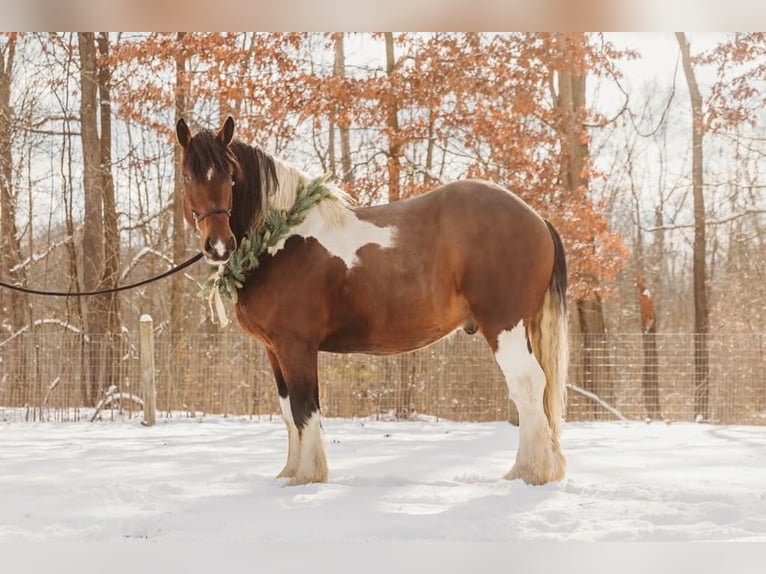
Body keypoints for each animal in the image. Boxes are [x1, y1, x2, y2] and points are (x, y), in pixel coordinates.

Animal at [176, 116, 569, 486]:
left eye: (230, 176)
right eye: (187, 176)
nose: (218, 245)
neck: (280, 237)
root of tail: (537, 219)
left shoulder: (296, 346)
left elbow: (305, 408)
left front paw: (307, 476)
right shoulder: (275, 350)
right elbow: (289, 410)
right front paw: (289, 472)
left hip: (505, 327)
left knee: (527, 385)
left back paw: (529, 472)